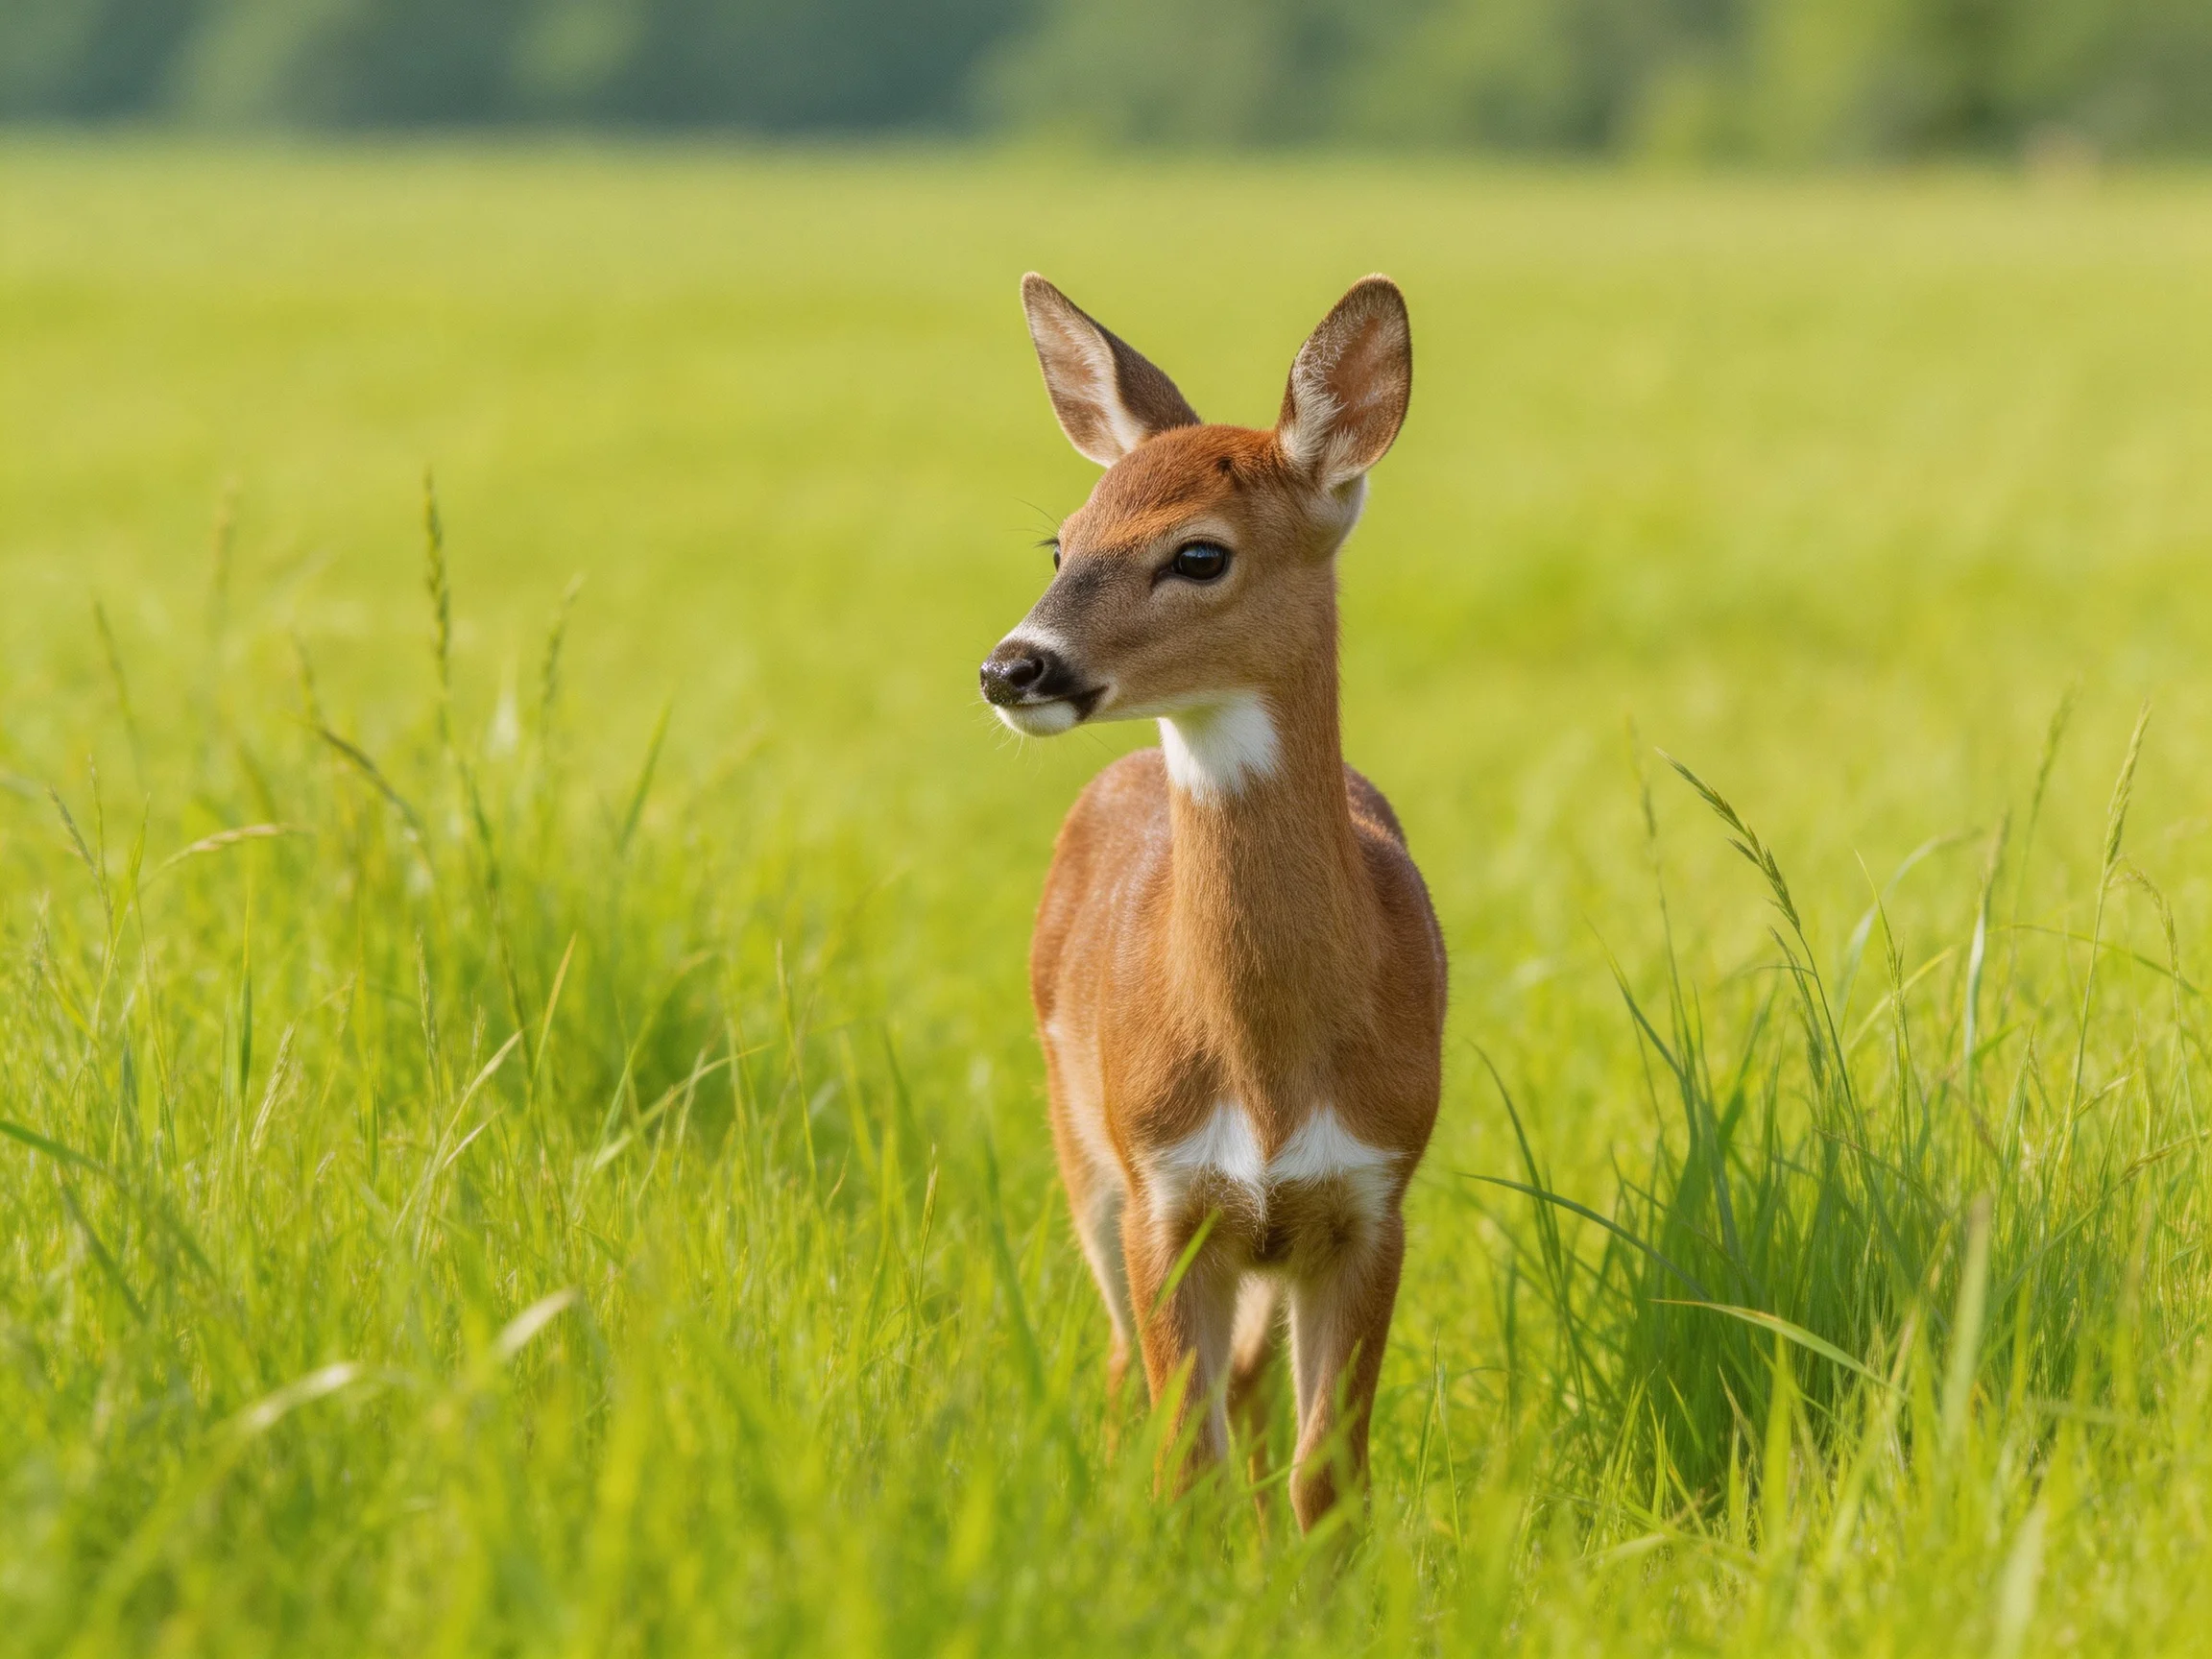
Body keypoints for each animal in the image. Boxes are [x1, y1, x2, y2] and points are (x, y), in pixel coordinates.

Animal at [978, 273, 1446, 1530]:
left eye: (1199, 554)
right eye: (1062, 539)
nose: (1013, 667)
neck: (1270, 1066)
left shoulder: (1372, 1195)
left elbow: (1326, 1473)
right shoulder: (1165, 1192)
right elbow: (1183, 1456)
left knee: (1239, 1386)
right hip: (1079, 1143)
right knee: (1120, 1368)